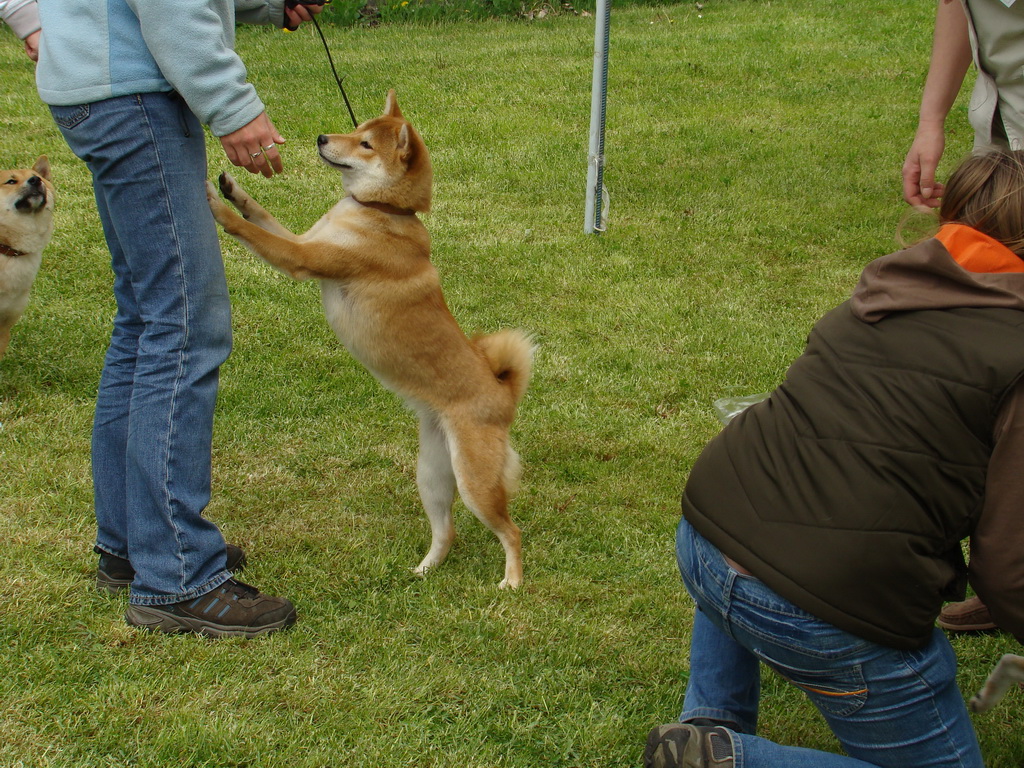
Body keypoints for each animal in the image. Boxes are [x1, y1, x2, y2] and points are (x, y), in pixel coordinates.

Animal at [204, 88, 532, 589]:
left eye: (365, 145)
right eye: (355, 130)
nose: (322, 137)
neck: (382, 211)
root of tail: (503, 394)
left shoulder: (303, 257)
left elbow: (250, 229)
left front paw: (214, 205)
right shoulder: (306, 241)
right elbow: (261, 216)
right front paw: (233, 189)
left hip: (476, 482)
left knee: (511, 531)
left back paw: (511, 582)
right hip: (432, 475)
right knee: (447, 531)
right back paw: (424, 569)